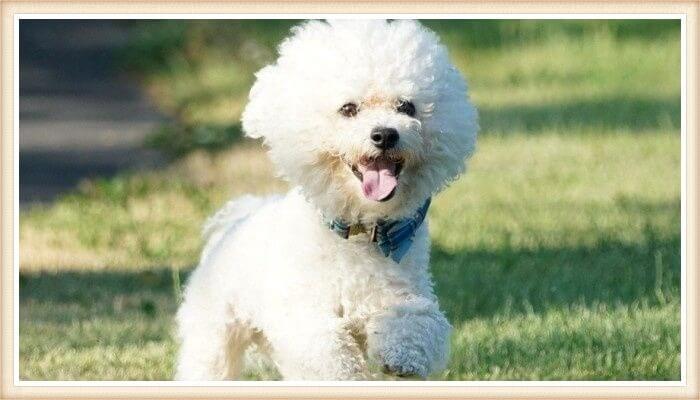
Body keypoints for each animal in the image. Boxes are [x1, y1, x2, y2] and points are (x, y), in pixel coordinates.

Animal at [178, 19, 478, 382]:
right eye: (348, 109)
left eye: (407, 106)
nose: (384, 134)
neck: (360, 232)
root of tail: (237, 219)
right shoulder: (303, 314)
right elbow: (327, 352)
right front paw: (347, 375)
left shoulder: (405, 293)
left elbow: (417, 321)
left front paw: (402, 354)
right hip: (215, 331)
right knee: (209, 364)